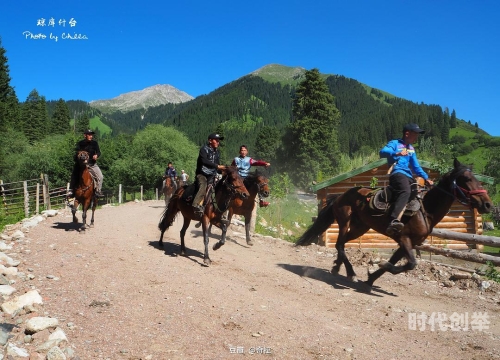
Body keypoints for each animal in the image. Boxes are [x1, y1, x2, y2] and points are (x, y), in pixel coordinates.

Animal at [296, 159, 492, 288]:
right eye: (466, 179)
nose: (488, 204)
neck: (425, 210)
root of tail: (339, 196)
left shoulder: (408, 243)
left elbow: (400, 262)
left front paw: (372, 277)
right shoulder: (404, 239)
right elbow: (410, 264)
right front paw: (380, 265)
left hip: (360, 227)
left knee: (341, 245)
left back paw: (337, 268)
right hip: (344, 221)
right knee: (339, 244)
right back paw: (350, 273)